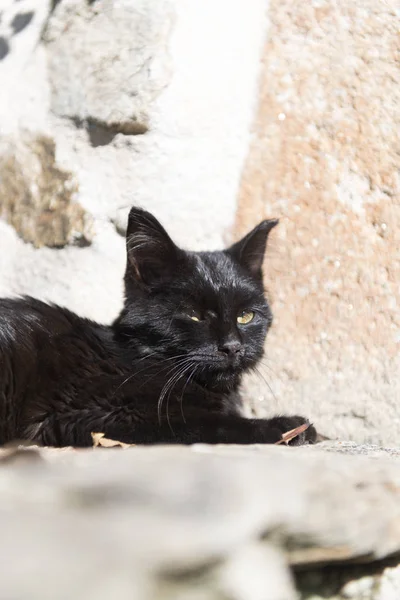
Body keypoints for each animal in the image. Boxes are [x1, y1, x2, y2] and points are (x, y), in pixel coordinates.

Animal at [0, 206, 316, 446]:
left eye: (246, 316)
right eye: (194, 315)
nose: (232, 347)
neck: (143, 358)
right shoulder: (104, 413)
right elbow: (213, 424)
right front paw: (290, 426)